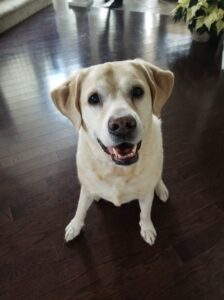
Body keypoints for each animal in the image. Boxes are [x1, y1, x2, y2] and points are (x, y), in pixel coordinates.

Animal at [51, 59, 174, 246]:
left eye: (138, 91)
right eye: (93, 99)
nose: (122, 124)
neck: (117, 170)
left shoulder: (146, 194)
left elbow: (145, 213)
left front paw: (147, 228)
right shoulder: (86, 188)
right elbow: (80, 208)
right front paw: (75, 226)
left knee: (157, 177)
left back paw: (160, 188)